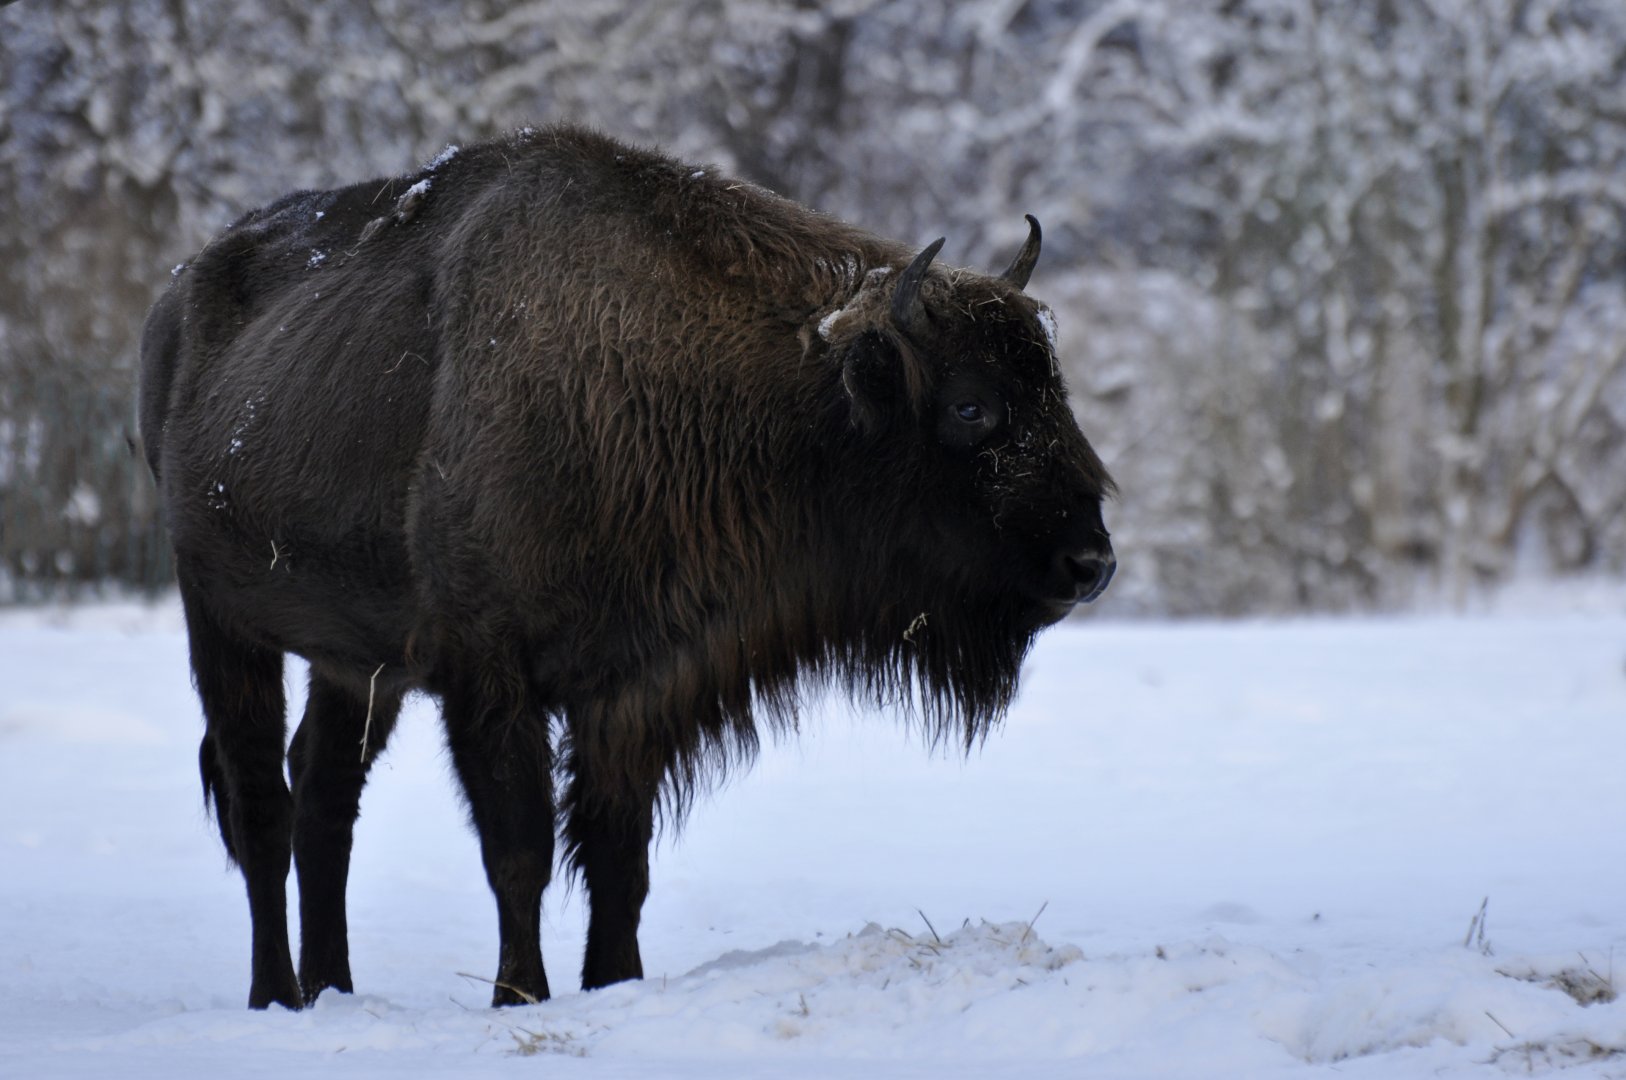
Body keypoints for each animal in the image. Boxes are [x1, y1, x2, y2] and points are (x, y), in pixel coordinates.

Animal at [139, 124, 1116, 1010]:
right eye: (971, 406)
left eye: (1053, 389)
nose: (1091, 560)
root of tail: (174, 302)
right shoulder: (490, 677)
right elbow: (520, 851)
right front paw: (520, 998)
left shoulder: (636, 688)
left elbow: (619, 861)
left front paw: (613, 983)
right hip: (221, 622)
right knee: (262, 803)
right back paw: (277, 996)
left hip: (356, 664)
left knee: (324, 799)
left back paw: (333, 988)